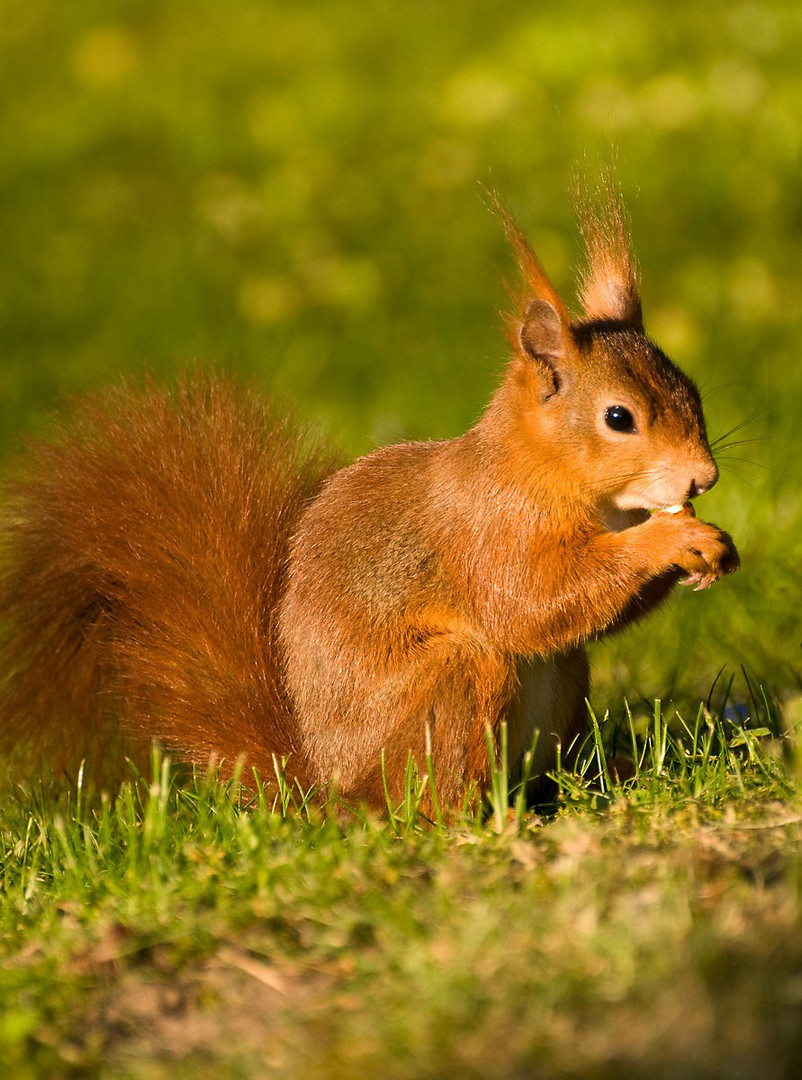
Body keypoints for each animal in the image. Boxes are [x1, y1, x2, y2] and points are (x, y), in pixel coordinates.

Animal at [0, 185, 738, 807]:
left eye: (695, 391)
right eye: (618, 418)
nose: (702, 479)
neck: (544, 471)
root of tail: (328, 790)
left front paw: (714, 547)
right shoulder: (489, 529)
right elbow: (531, 600)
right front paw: (673, 538)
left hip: (563, 681)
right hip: (451, 685)